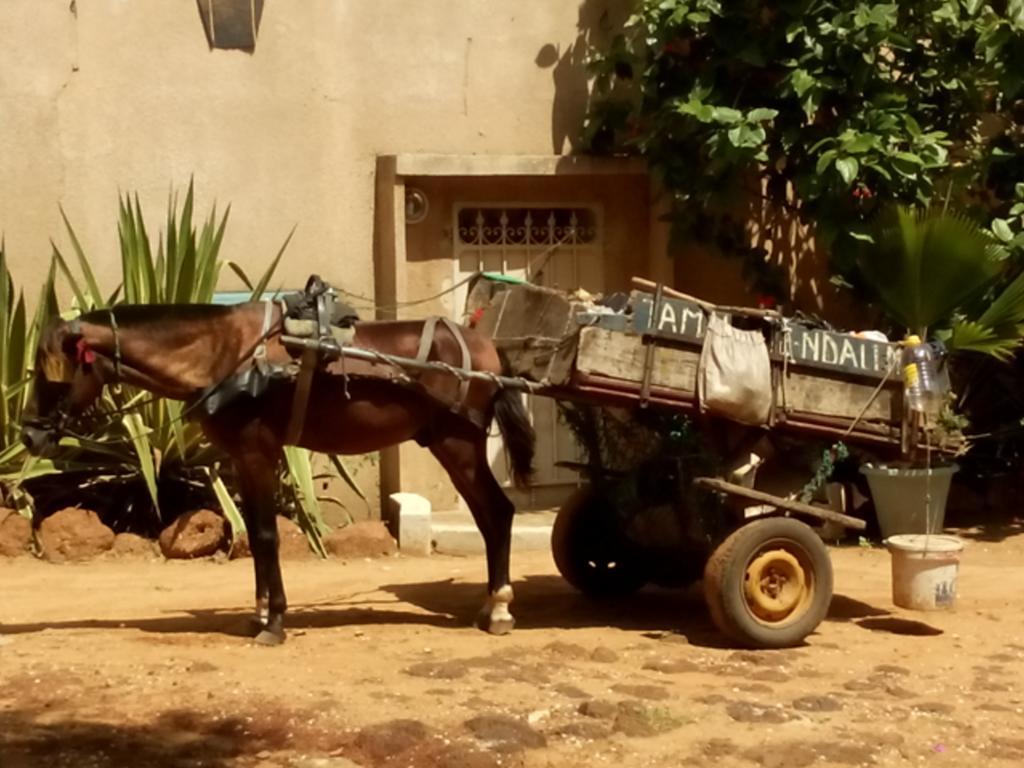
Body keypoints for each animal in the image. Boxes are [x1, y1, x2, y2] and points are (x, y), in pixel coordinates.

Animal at [22, 296, 536, 647]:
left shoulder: (257, 454)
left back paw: (501, 610)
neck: (224, 354)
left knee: (498, 514)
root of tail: (486, 349)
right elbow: (253, 532)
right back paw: (490, 605)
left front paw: (274, 623)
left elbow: (267, 536)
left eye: (52, 372)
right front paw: (260, 611)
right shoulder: (239, 460)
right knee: (491, 518)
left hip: (459, 446)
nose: (28, 437)